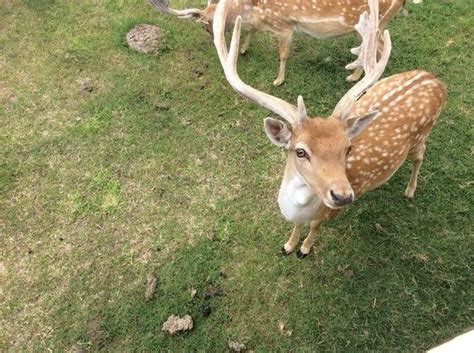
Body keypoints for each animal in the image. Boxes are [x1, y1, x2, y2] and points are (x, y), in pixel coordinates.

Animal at [151, 0, 414, 86]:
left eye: (205, 24)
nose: (210, 36)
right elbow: (253, 28)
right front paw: (244, 48)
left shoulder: (286, 27)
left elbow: (283, 54)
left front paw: (278, 80)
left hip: (374, 24)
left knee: (378, 49)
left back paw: (355, 77)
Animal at [213, 0, 446, 256]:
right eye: (300, 151)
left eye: (348, 149)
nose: (343, 196)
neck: (297, 208)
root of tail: (436, 81)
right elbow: (297, 226)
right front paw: (288, 245)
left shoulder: (329, 212)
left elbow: (315, 226)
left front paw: (304, 249)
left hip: (422, 134)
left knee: (420, 155)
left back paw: (410, 190)